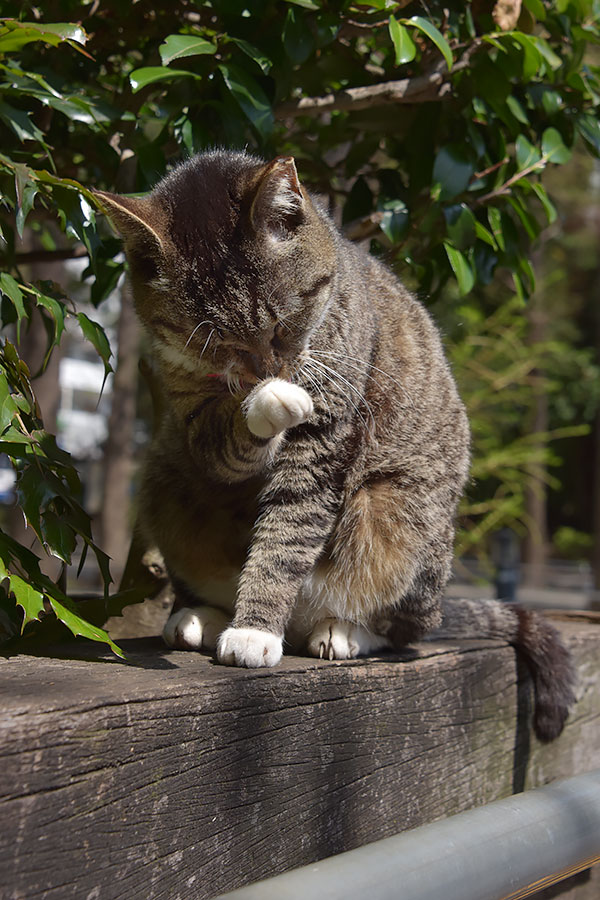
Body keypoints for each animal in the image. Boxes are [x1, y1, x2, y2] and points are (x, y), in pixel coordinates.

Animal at [97, 148, 576, 740]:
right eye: (215, 341)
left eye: (281, 322)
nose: (270, 369)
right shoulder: (189, 416)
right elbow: (225, 444)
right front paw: (267, 402)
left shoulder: (327, 440)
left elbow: (287, 532)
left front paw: (254, 632)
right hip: (165, 475)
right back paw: (201, 618)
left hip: (398, 517)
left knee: (407, 629)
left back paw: (342, 632)